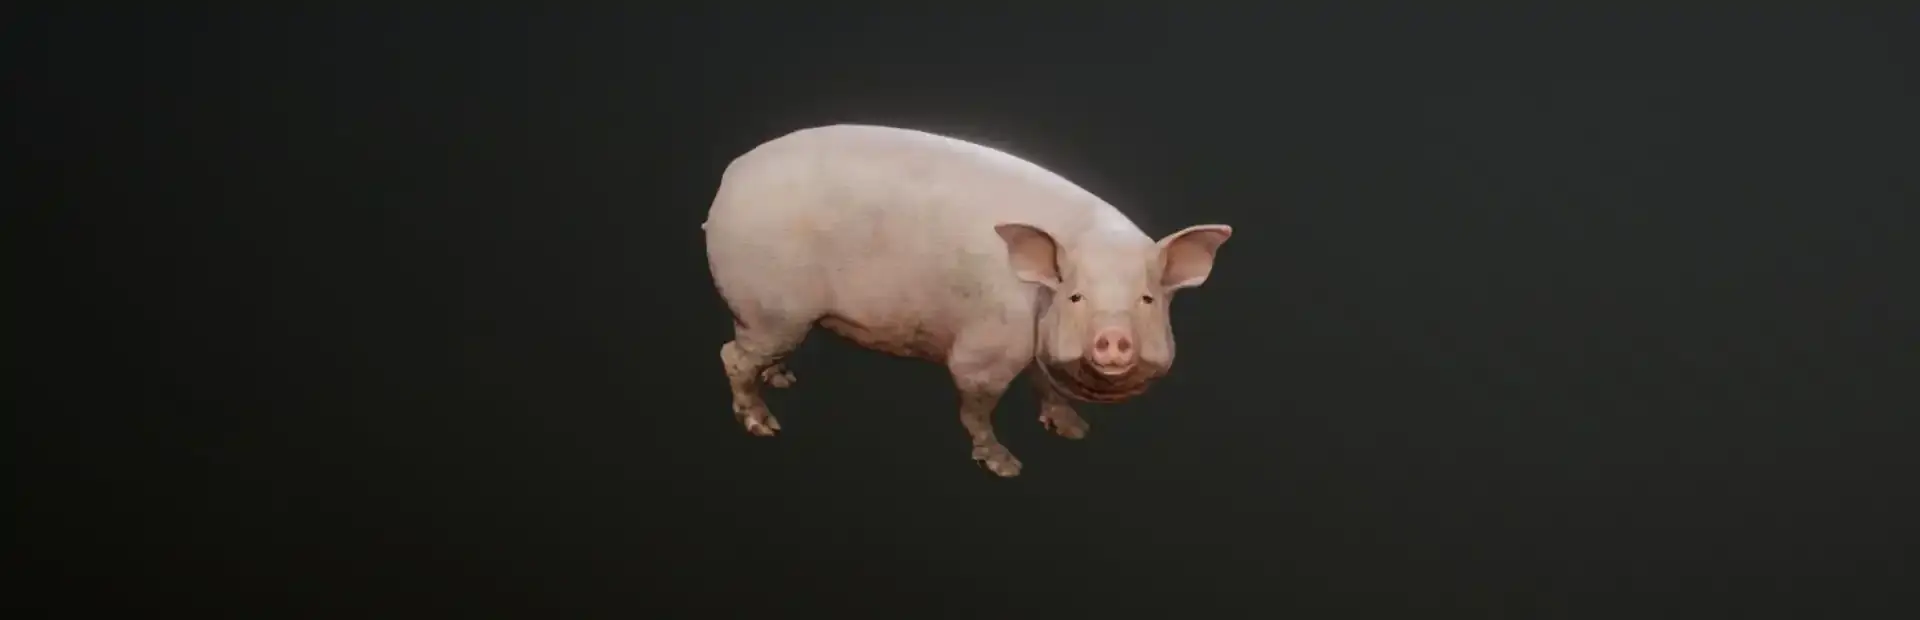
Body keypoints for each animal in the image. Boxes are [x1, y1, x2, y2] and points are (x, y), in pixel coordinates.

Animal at [703, 124, 1233, 477]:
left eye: (1147, 298)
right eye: (1076, 295)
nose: (1113, 337)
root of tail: (730, 176)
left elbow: (1047, 387)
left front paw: (1076, 431)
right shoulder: (985, 350)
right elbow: (976, 406)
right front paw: (1006, 467)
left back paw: (783, 379)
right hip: (771, 308)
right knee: (731, 356)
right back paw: (764, 425)